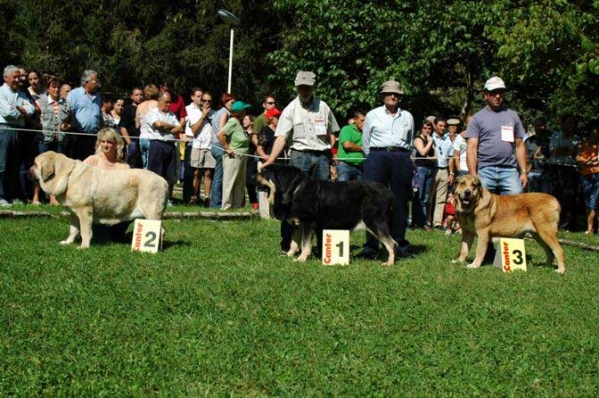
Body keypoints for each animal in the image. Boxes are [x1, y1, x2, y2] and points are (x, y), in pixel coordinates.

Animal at [31, 151, 170, 247]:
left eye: (35, 164)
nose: (28, 171)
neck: (68, 176)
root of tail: (163, 180)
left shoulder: (84, 211)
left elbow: (85, 230)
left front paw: (84, 246)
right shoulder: (73, 214)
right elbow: (73, 230)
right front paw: (68, 242)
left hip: (152, 213)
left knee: (161, 231)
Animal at [254, 163, 398, 266]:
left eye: (264, 172)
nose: (252, 176)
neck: (294, 190)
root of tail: (388, 192)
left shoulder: (307, 224)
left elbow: (305, 244)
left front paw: (301, 259)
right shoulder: (297, 225)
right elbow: (294, 244)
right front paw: (289, 256)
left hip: (374, 222)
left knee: (391, 243)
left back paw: (389, 263)